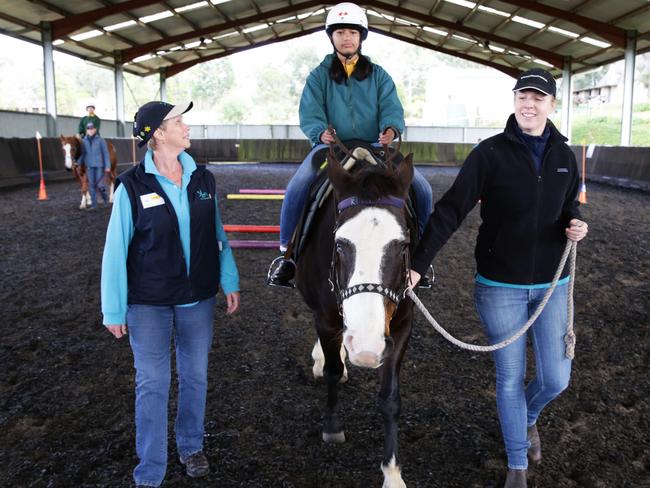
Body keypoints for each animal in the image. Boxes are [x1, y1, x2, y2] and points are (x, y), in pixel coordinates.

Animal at [294, 146, 412, 488]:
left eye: (403, 246)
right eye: (339, 245)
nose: (365, 347)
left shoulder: (401, 327)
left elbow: (390, 398)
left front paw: (392, 474)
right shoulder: (325, 319)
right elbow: (333, 370)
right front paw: (333, 427)